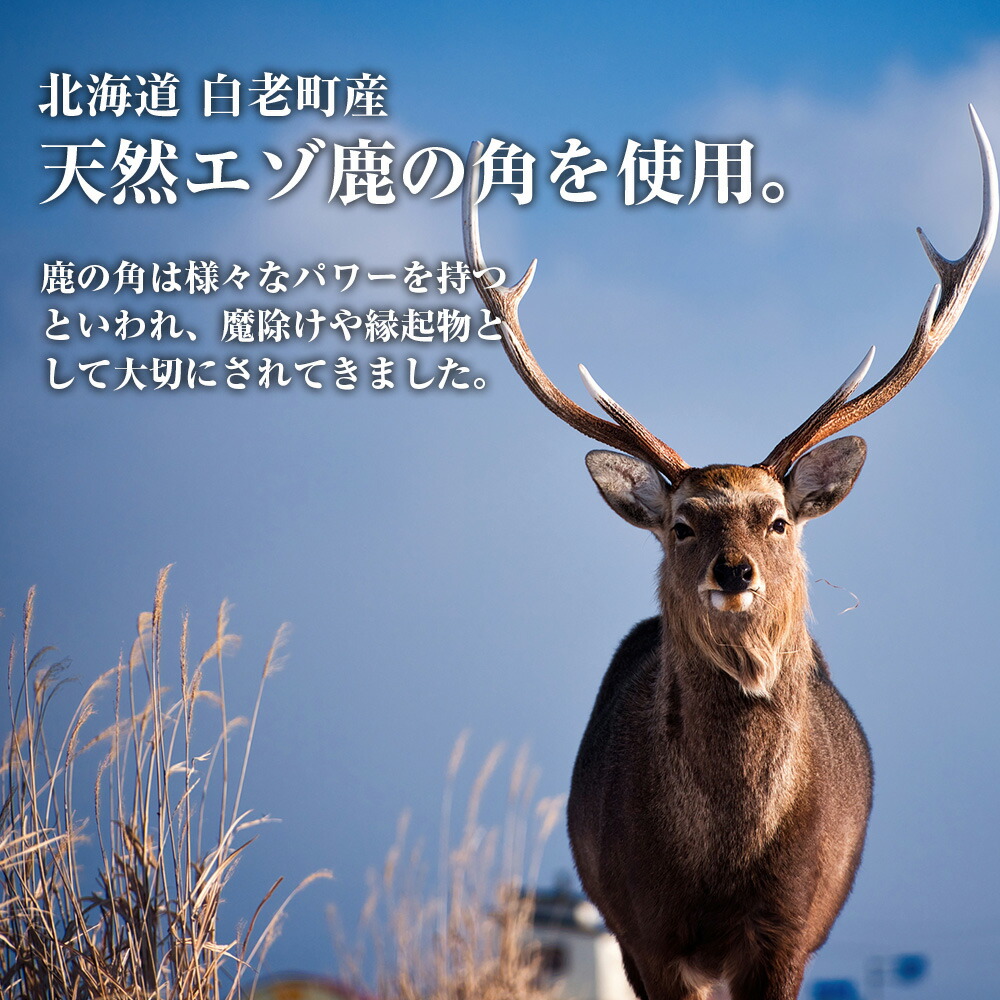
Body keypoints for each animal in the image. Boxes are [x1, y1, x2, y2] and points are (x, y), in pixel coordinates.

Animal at [462, 106, 997, 1000]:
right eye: (683, 523)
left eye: (776, 519)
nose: (734, 570)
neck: (721, 862)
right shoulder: (644, 931)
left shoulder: (791, 930)